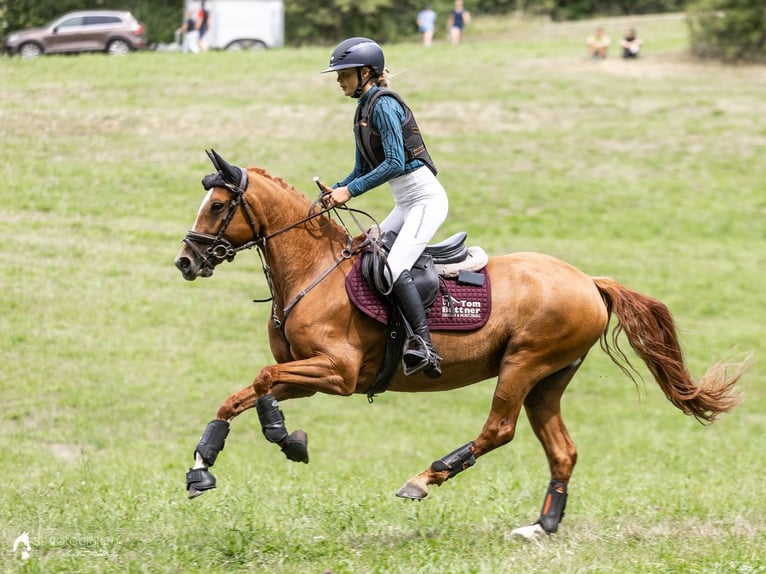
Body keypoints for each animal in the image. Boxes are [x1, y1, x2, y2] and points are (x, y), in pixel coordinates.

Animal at [174, 150, 745, 539]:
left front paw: (280, 437)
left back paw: (426, 477)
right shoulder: (309, 374)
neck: (315, 271)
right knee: (562, 451)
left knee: (499, 430)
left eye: (218, 205)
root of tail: (588, 281)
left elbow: (262, 383)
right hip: (548, 380)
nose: (185, 261)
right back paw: (541, 527)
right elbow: (243, 395)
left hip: (523, 364)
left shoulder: (337, 372)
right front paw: (206, 465)